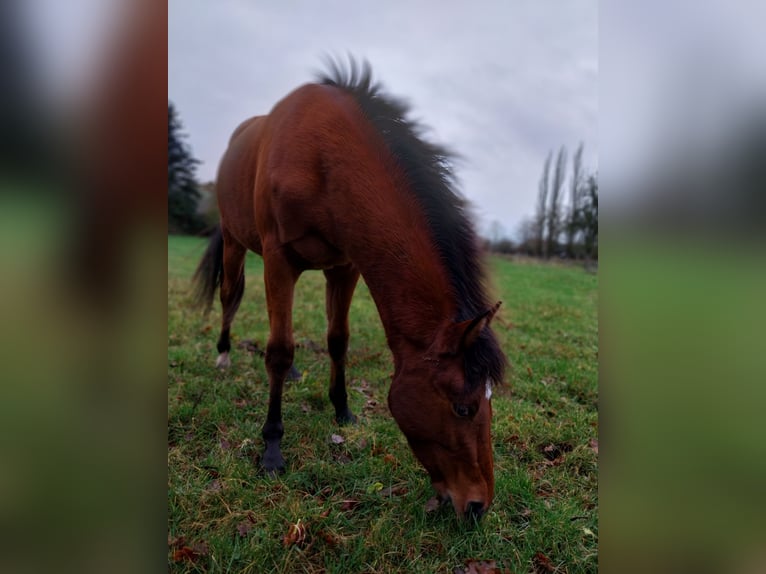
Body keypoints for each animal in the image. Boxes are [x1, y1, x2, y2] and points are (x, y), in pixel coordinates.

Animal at [196, 59, 510, 520]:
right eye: (463, 406)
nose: (477, 505)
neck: (323, 157)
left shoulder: (345, 268)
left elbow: (337, 340)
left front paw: (342, 409)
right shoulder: (278, 259)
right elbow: (278, 350)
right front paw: (272, 448)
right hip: (237, 245)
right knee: (230, 298)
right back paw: (223, 355)